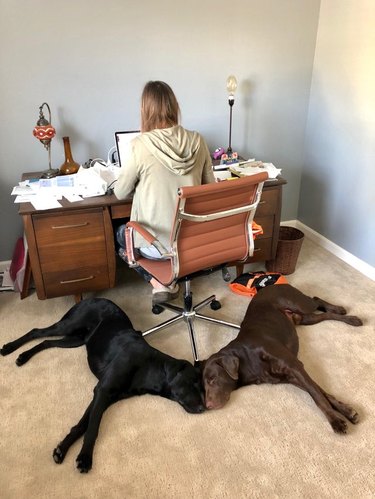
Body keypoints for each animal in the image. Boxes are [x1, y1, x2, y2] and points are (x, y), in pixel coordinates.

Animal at [0, 298, 206, 474]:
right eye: (192, 383)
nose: (204, 408)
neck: (148, 367)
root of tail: (93, 298)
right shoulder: (103, 391)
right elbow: (93, 427)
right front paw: (84, 458)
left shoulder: (105, 396)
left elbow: (83, 424)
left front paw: (63, 449)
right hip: (69, 325)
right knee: (36, 331)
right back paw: (10, 348)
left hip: (76, 340)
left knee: (46, 342)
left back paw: (23, 356)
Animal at [203, 286, 364, 434]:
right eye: (204, 385)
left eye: (212, 379)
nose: (207, 406)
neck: (246, 360)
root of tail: (271, 285)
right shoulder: (289, 377)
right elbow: (321, 392)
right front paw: (347, 411)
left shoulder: (294, 366)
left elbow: (317, 395)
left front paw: (335, 421)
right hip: (305, 318)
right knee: (324, 315)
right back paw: (350, 319)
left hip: (301, 304)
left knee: (316, 299)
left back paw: (344, 312)